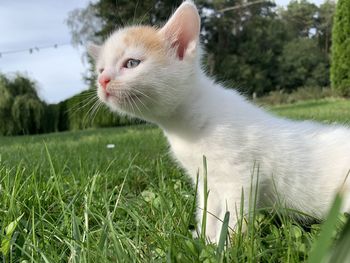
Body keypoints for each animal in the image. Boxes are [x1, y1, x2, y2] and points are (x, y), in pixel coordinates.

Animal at [88, 0, 350, 243]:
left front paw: (225, 246)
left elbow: (233, 216)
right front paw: (204, 239)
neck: (186, 127)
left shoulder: (242, 178)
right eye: (100, 69)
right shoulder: (206, 180)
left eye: (132, 63)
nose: (102, 80)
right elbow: (208, 212)